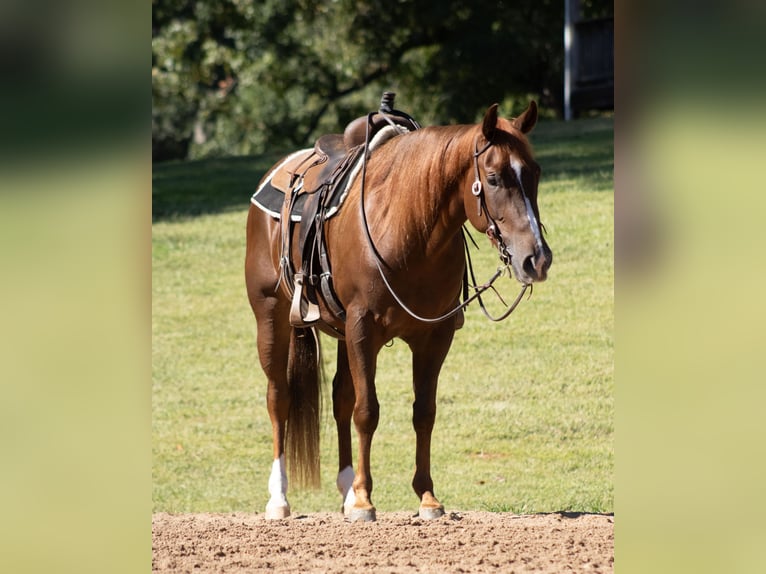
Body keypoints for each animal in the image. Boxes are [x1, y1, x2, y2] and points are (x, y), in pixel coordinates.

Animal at [245, 100, 552, 522]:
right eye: (493, 178)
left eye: (534, 172)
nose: (536, 258)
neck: (409, 228)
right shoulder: (363, 328)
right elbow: (367, 411)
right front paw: (363, 501)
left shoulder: (434, 336)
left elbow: (423, 411)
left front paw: (426, 497)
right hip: (271, 316)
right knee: (280, 398)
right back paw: (280, 498)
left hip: (339, 329)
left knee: (340, 398)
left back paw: (345, 489)